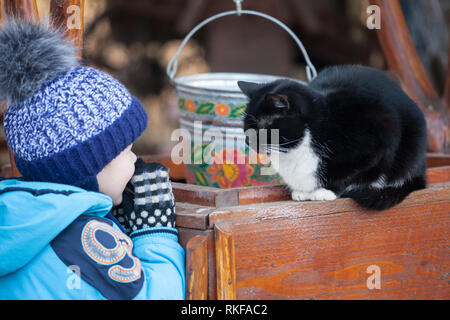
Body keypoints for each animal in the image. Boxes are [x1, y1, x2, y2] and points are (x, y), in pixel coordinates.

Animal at [237, 65, 428, 210]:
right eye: (246, 125)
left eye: (262, 125)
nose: (247, 140)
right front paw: (302, 191)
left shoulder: (381, 133)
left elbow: (352, 173)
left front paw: (326, 191)